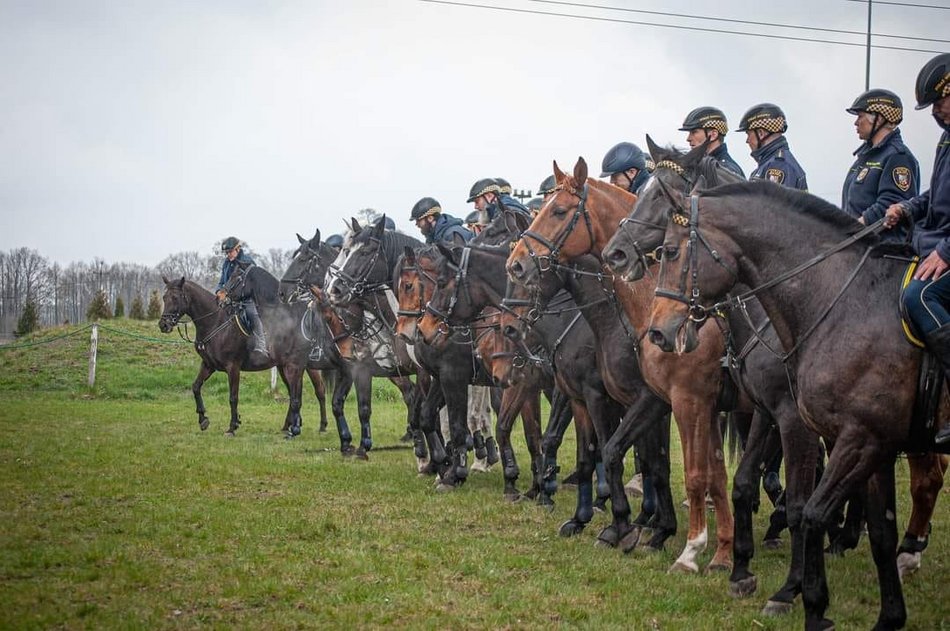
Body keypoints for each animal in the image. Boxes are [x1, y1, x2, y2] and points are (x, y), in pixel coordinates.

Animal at [158, 278, 330, 440]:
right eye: (164, 297)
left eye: (175, 298)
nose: (163, 325)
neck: (216, 323)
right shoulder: (208, 365)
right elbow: (195, 387)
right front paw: (203, 420)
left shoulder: (232, 367)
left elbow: (233, 397)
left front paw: (232, 427)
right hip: (284, 368)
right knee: (293, 393)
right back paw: (288, 425)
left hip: (305, 367)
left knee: (319, 391)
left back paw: (322, 426)